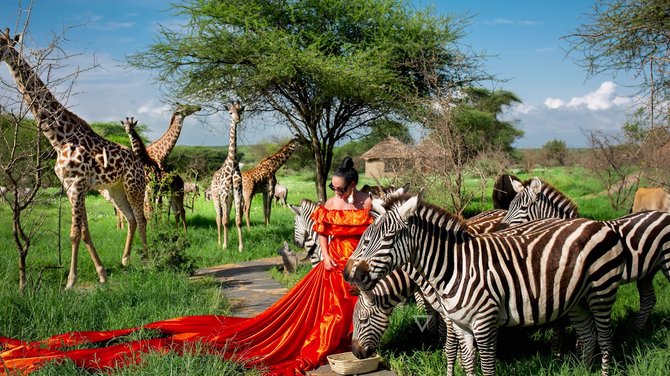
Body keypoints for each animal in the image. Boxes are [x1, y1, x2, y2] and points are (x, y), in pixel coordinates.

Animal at [0, 28, 147, 288]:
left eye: (1, 42)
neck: (58, 138)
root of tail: (139, 164)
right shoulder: (69, 186)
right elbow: (85, 232)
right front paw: (101, 274)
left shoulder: (77, 184)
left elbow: (74, 234)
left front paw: (70, 281)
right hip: (115, 189)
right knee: (130, 218)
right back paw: (125, 260)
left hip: (134, 185)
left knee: (142, 218)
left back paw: (152, 259)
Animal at [344, 194, 628, 376]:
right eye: (365, 237)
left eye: (388, 238)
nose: (348, 273)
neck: (453, 268)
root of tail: (593, 222)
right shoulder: (461, 324)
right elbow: (469, 363)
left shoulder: (484, 324)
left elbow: (483, 365)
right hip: (577, 299)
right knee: (589, 335)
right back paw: (583, 370)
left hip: (602, 293)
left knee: (605, 339)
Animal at [502, 176, 670, 328]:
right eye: (510, 205)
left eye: (523, 208)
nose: (501, 227)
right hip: (648, 270)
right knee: (648, 299)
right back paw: (636, 331)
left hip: (667, 261)